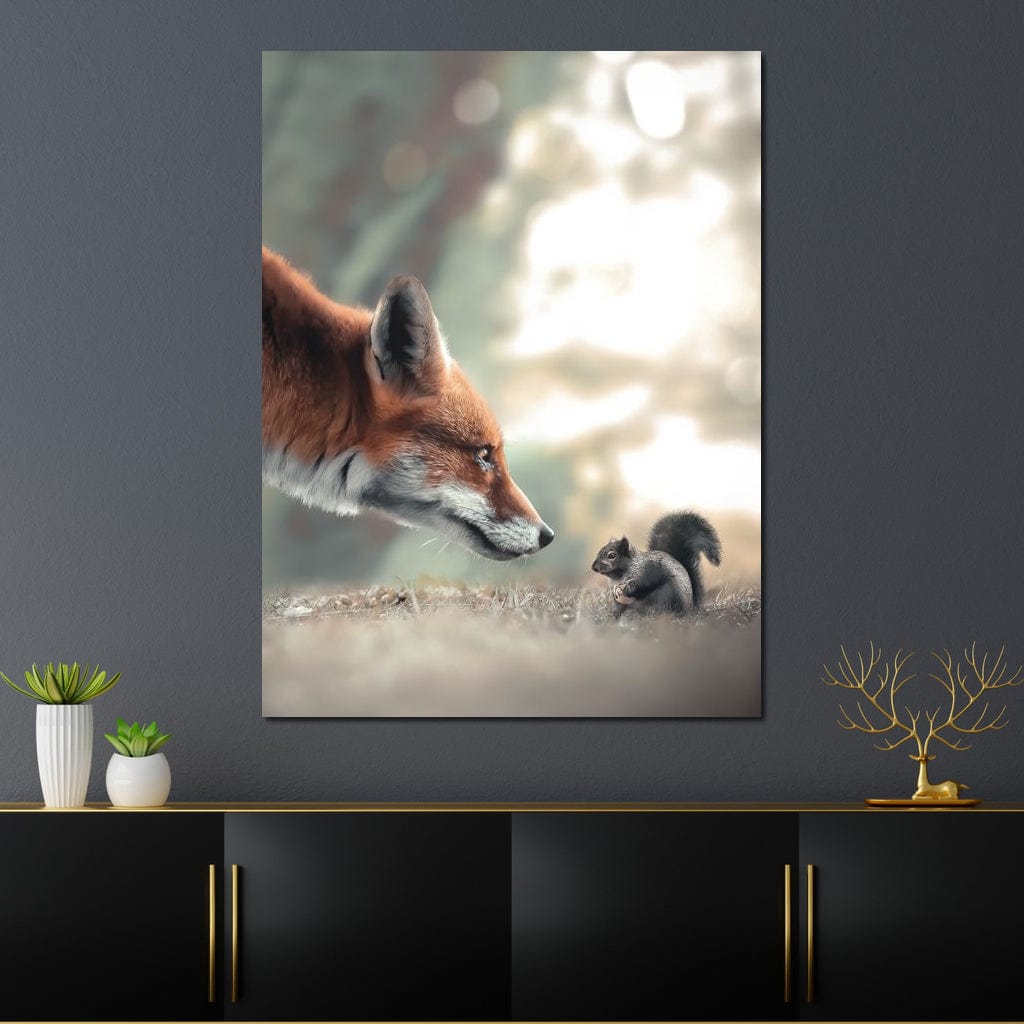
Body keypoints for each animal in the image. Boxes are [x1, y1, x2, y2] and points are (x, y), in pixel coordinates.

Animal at [591, 511, 723, 617]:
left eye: (611, 555)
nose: (594, 567)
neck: (618, 576)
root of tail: (690, 608)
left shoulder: (646, 572)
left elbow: (642, 584)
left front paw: (627, 589)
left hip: (667, 594)